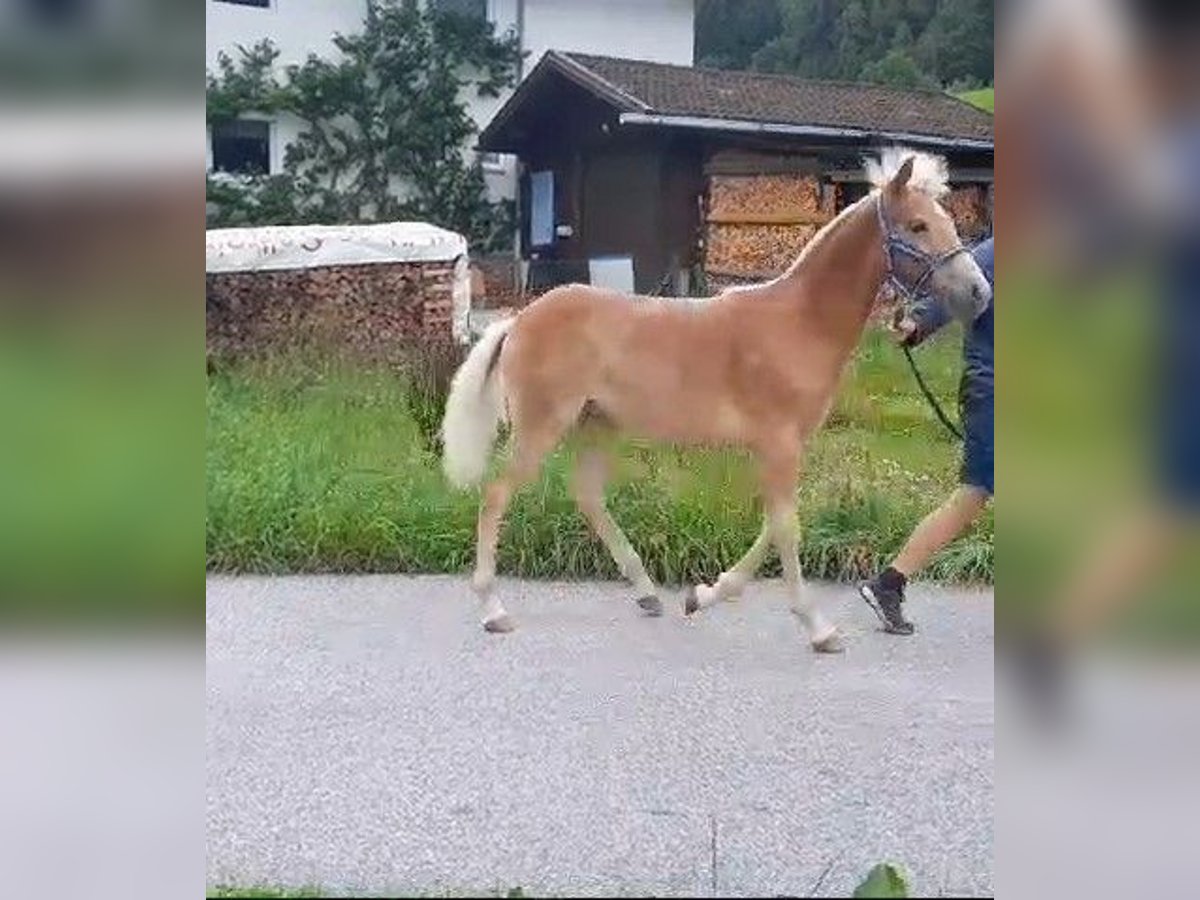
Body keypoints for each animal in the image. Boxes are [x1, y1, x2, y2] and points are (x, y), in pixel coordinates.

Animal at [436, 150, 988, 657]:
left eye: (946, 219)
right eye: (918, 225)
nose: (979, 292)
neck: (799, 323)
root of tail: (518, 320)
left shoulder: (783, 447)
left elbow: (773, 526)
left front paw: (702, 595)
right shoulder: (779, 443)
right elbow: (787, 528)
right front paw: (819, 629)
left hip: (597, 425)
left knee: (588, 497)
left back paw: (648, 594)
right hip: (542, 426)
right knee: (496, 494)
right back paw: (493, 609)